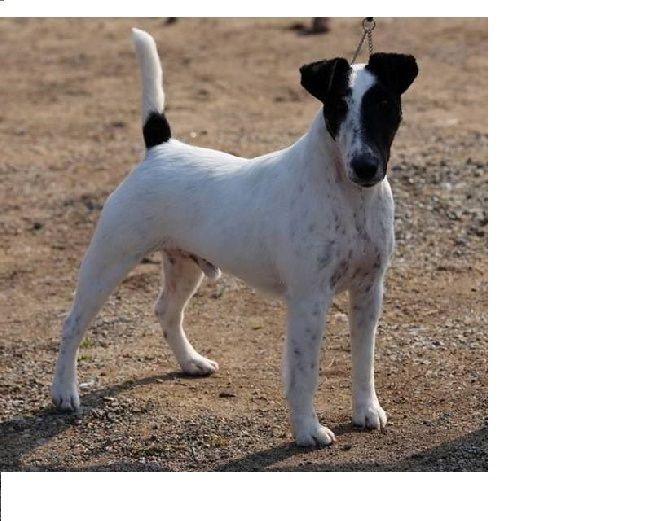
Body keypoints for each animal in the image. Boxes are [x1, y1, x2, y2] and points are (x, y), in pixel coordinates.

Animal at [52, 26, 418, 444]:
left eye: (384, 103)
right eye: (337, 107)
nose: (365, 166)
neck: (348, 197)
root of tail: (160, 148)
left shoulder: (369, 292)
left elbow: (363, 361)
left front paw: (366, 411)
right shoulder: (309, 300)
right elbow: (304, 373)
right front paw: (307, 430)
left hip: (183, 265)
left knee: (166, 310)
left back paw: (191, 361)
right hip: (107, 262)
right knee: (72, 325)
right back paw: (64, 391)